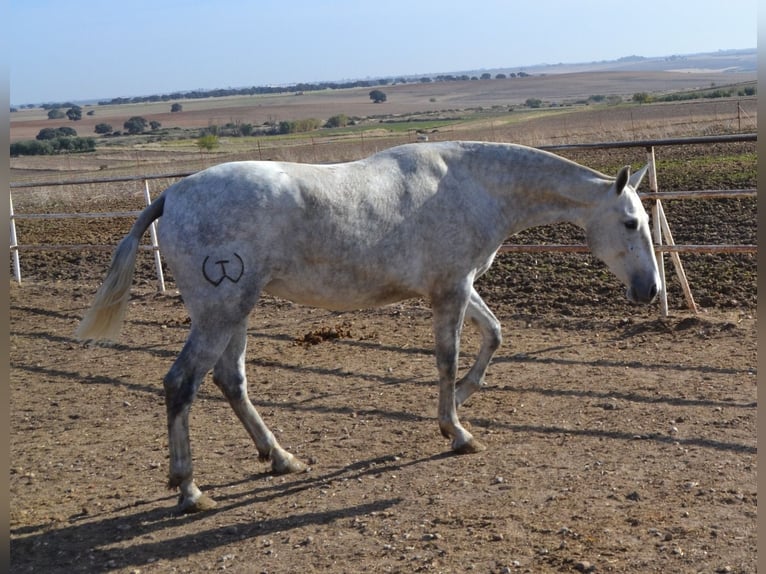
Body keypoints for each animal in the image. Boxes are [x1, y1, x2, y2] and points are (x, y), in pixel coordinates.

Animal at [79, 141, 664, 512]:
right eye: (631, 222)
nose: (651, 290)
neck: (471, 186)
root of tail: (170, 195)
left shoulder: (457, 285)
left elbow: (494, 334)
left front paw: (465, 398)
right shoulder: (449, 292)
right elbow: (447, 359)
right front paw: (456, 431)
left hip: (236, 311)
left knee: (230, 380)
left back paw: (282, 459)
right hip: (220, 311)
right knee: (182, 384)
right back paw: (191, 491)